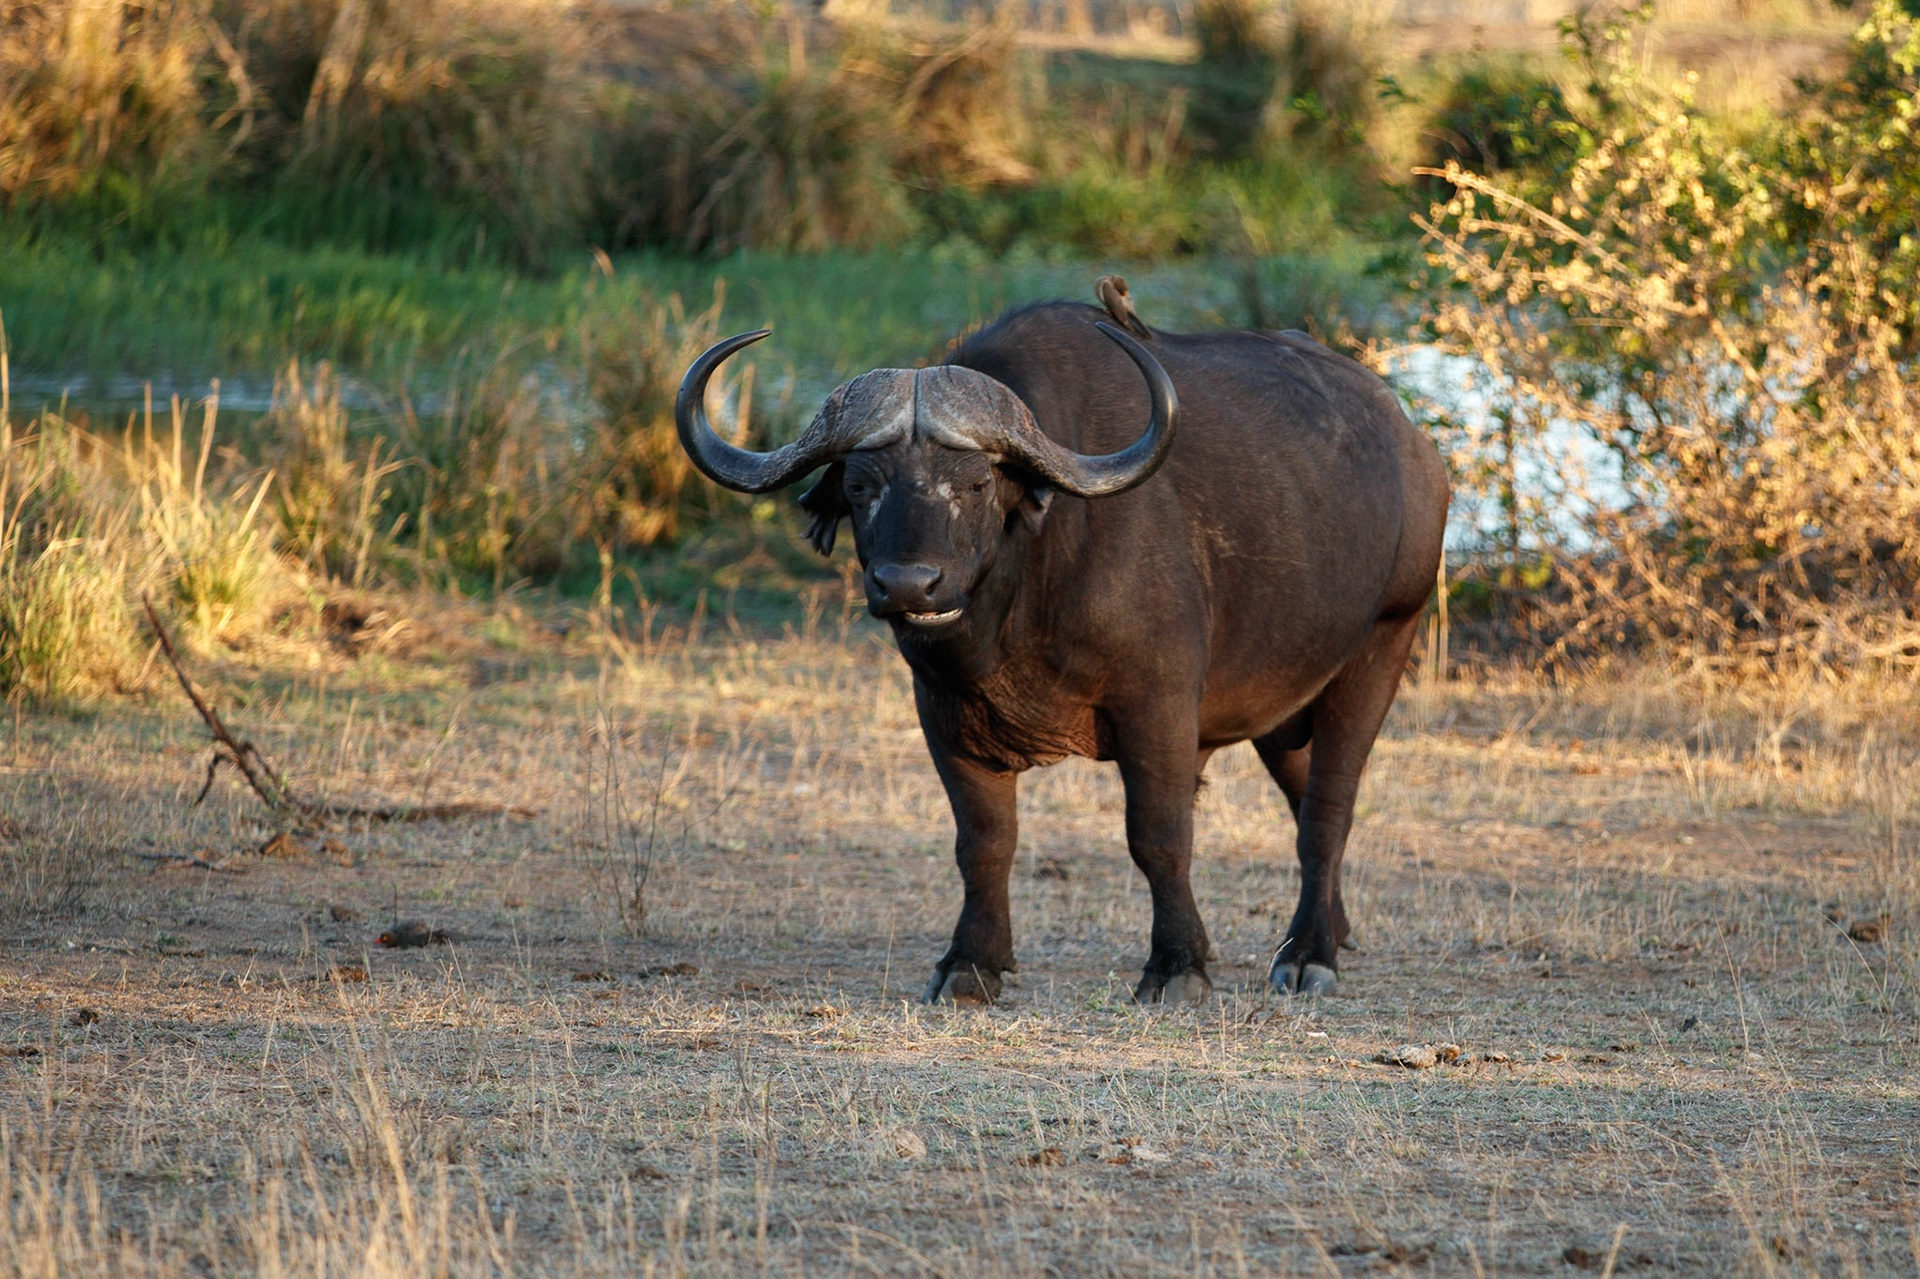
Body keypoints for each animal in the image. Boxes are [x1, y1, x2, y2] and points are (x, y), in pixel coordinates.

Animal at [674, 283, 1449, 1004]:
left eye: (976, 483)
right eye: (862, 485)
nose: (908, 585)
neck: (1025, 596)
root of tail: (1414, 446)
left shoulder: (1159, 706)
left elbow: (1158, 834)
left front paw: (1177, 966)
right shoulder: (942, 713)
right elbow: (983, 841)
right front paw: (970, 963)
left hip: (1383, 644)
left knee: (1328, 806)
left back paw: (1310, 954)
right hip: (1280, 705)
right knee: (1302, 792)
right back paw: (1328, 932)